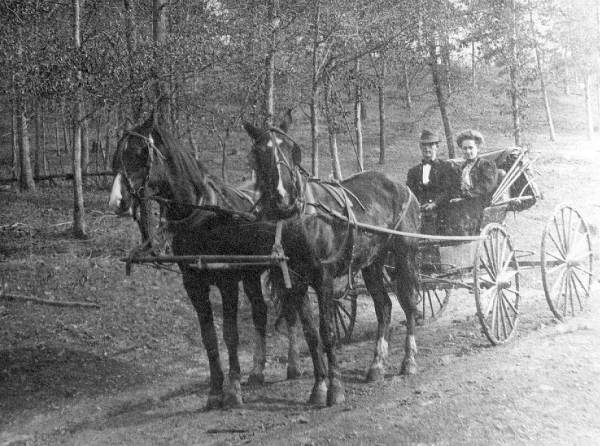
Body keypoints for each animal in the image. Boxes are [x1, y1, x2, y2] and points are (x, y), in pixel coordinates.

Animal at [106, 116, 300, 410]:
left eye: (141, 154)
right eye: (118, 155)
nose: (117, 201)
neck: (202, 216)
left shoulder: (227, 283)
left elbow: (230, 335)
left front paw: (233, 389)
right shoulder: (194, 285)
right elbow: (208, 337)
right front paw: (215, 391)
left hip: (282, 268)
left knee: (293, 309)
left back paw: (293, 364)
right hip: (251, 274)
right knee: (260, 312)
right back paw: (257, 370)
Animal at [244, 120, 422, 406]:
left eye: (291, 149)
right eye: (260, 151)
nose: (283, 196)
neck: (301, 217)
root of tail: (402, 186)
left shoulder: (323, 277)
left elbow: (327, 331)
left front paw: (336, 387)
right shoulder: (297, 282)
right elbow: (310, 333)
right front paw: (319, 387)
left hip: (404, 256)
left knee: (408, 304)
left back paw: (409, 361)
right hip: (372, 263)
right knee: (384, 307)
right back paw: (377, 365)